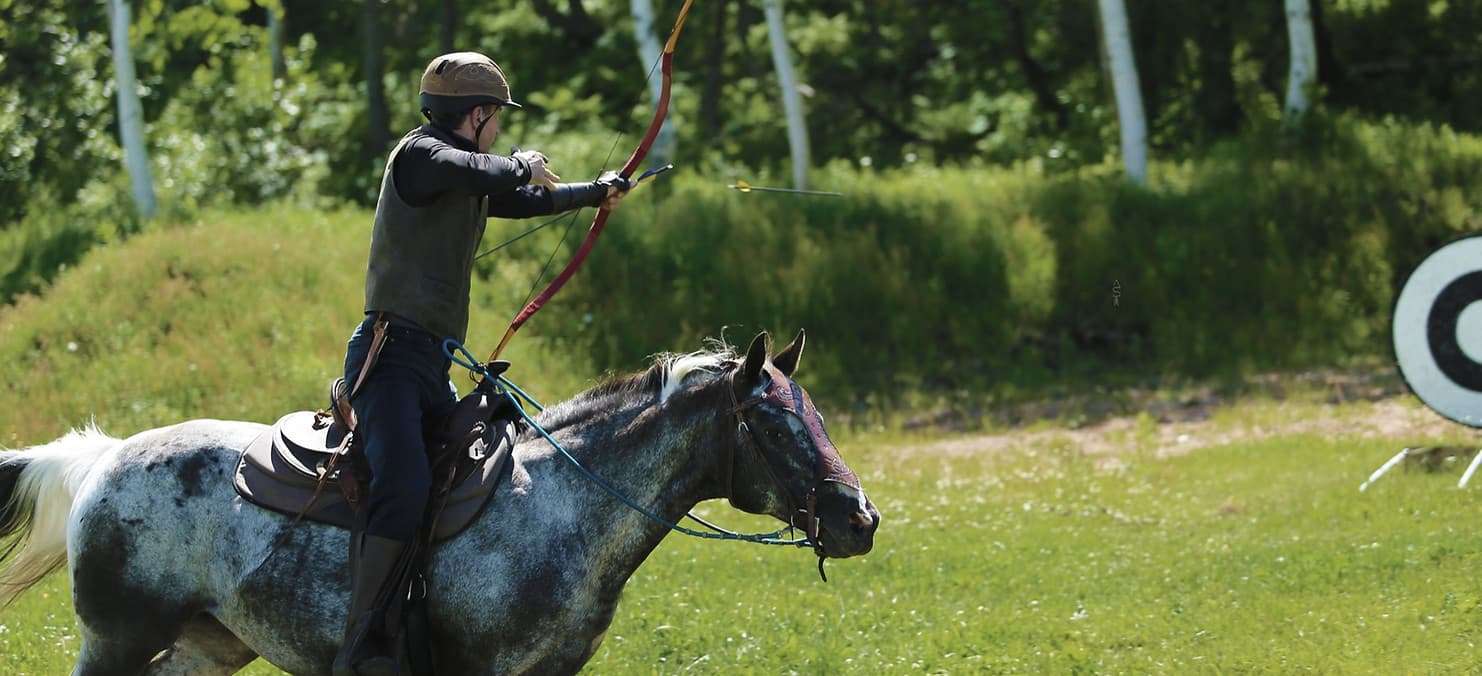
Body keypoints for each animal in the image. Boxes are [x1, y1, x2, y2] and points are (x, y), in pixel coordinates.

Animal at [0, 330, 879, 675]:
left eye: (819, 416)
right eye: (771, 423)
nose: (859, 519)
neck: (562, 506)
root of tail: (106, 458)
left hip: (208, 645)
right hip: (115, 641)